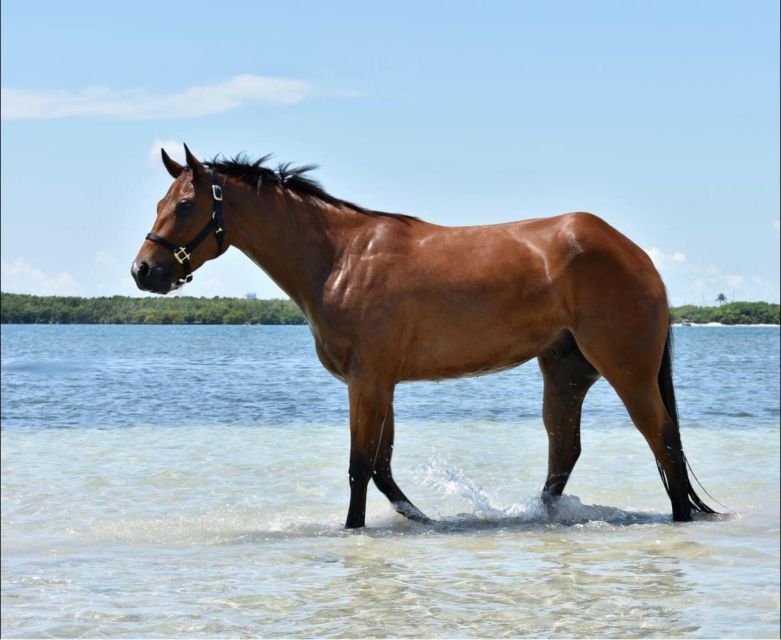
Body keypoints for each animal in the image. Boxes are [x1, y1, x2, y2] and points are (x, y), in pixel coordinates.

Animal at [131, 146, 716, 528]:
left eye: (185, 205)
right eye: (158, 203)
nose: (144, 271)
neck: (341, 258)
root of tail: (635, 254)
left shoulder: (367, 381)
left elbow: (359, 467)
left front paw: (354, 529)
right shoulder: (380, 383)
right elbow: (382, 469)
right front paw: (420, 517)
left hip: (627, 370)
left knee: (662, 439)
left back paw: (680, 516)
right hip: (566, 372)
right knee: (565, 451)